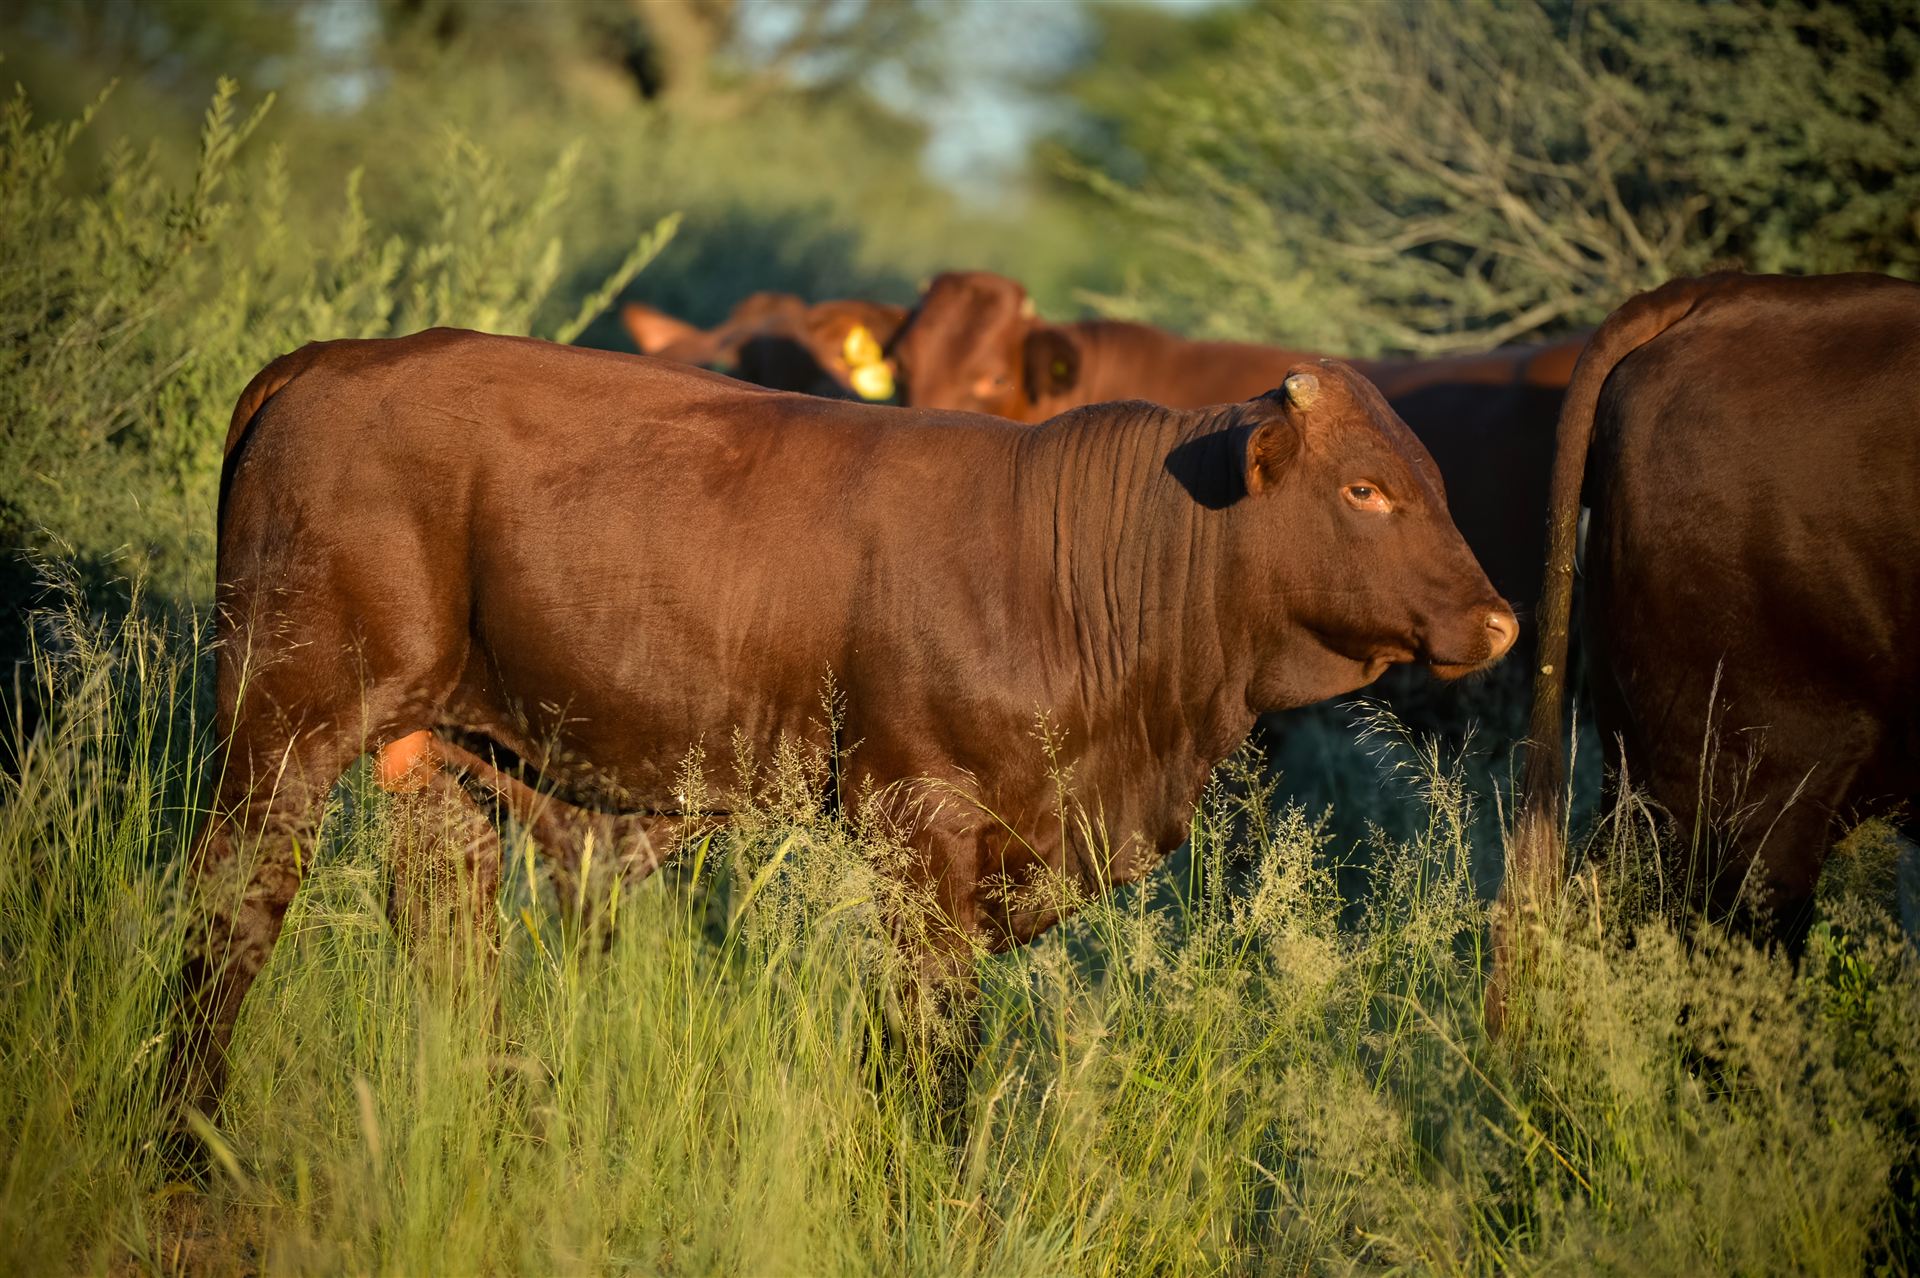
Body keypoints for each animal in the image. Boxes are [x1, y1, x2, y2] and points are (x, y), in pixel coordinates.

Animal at [168, 328, 1516, 1128]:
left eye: (1434, 483)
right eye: (1364, 490)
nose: (1499, 621)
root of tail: (334, 359)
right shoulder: (921, 829)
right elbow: (935, 1044)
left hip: (447, 761)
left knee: (451, 941)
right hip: (286, 720)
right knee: (236, 907)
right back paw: (188, 1133)